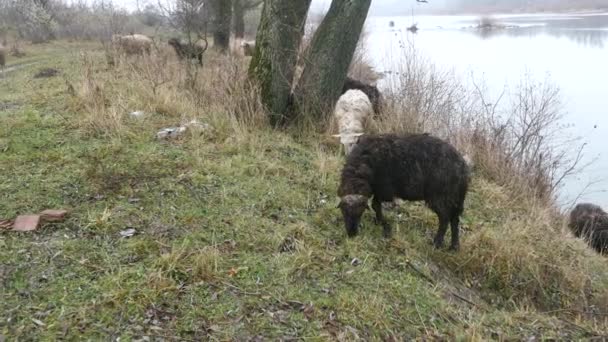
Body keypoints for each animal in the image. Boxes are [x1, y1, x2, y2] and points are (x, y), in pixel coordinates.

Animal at [338, 134, 470, 251]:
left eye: (360, 212)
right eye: (343, 211)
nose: (352, 234)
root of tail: (463, 167)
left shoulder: (383, 189)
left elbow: (376, 205)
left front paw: (382, 223)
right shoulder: (378, 189)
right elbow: (375, 205)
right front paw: (380, 221)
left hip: (440, 196)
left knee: (445, 218)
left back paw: (437, 243)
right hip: (455, 198)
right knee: (455, 219)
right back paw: (454, 246)